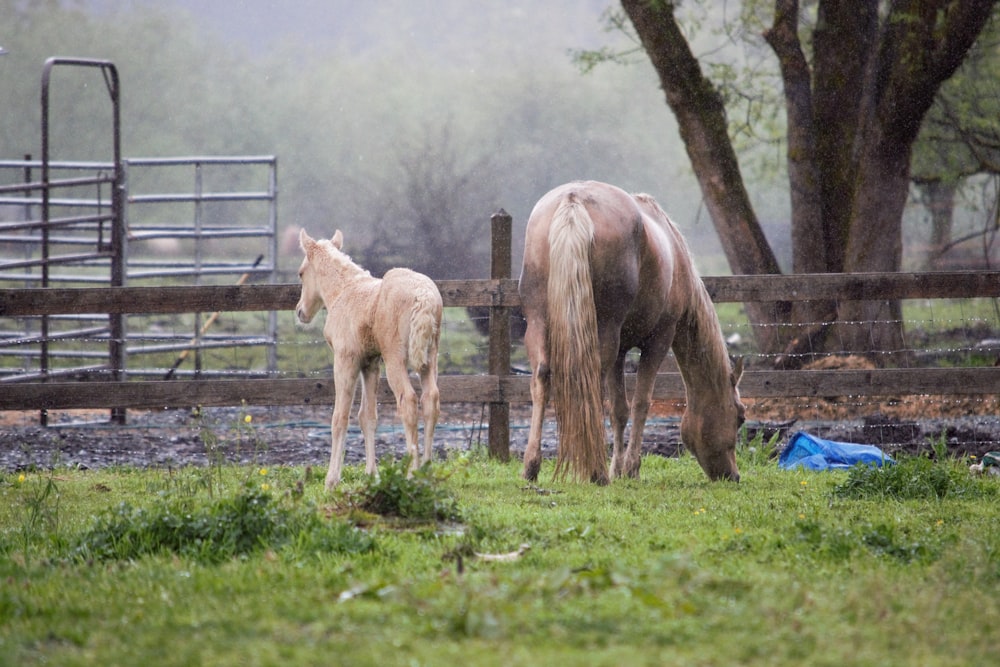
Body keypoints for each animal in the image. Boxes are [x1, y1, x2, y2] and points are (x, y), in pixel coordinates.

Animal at [292, 230, 442, 490]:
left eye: (301, 273)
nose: (301, 311)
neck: (344, 291)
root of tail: (423, 295)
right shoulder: (370, 363)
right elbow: (368, 416)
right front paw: (372, 474)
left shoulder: (345, 359)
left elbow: (340, 417)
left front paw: (331, 480)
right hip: (429, 357)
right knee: (431, 399)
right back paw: (426, 470)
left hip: (396, 359)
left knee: (409, 401)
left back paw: (412, 475)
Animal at [524, 181, 744, 486]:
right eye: (740, 417)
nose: (733, 475)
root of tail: (573, 201)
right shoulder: (659, 340)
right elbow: (641, 403)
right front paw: (631, 468)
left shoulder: (620, 350)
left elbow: (619, 409)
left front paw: (618, 468)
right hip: (604, 330)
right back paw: (596, 472)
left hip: (538, 321)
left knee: (542, 377)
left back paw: (532, 465)